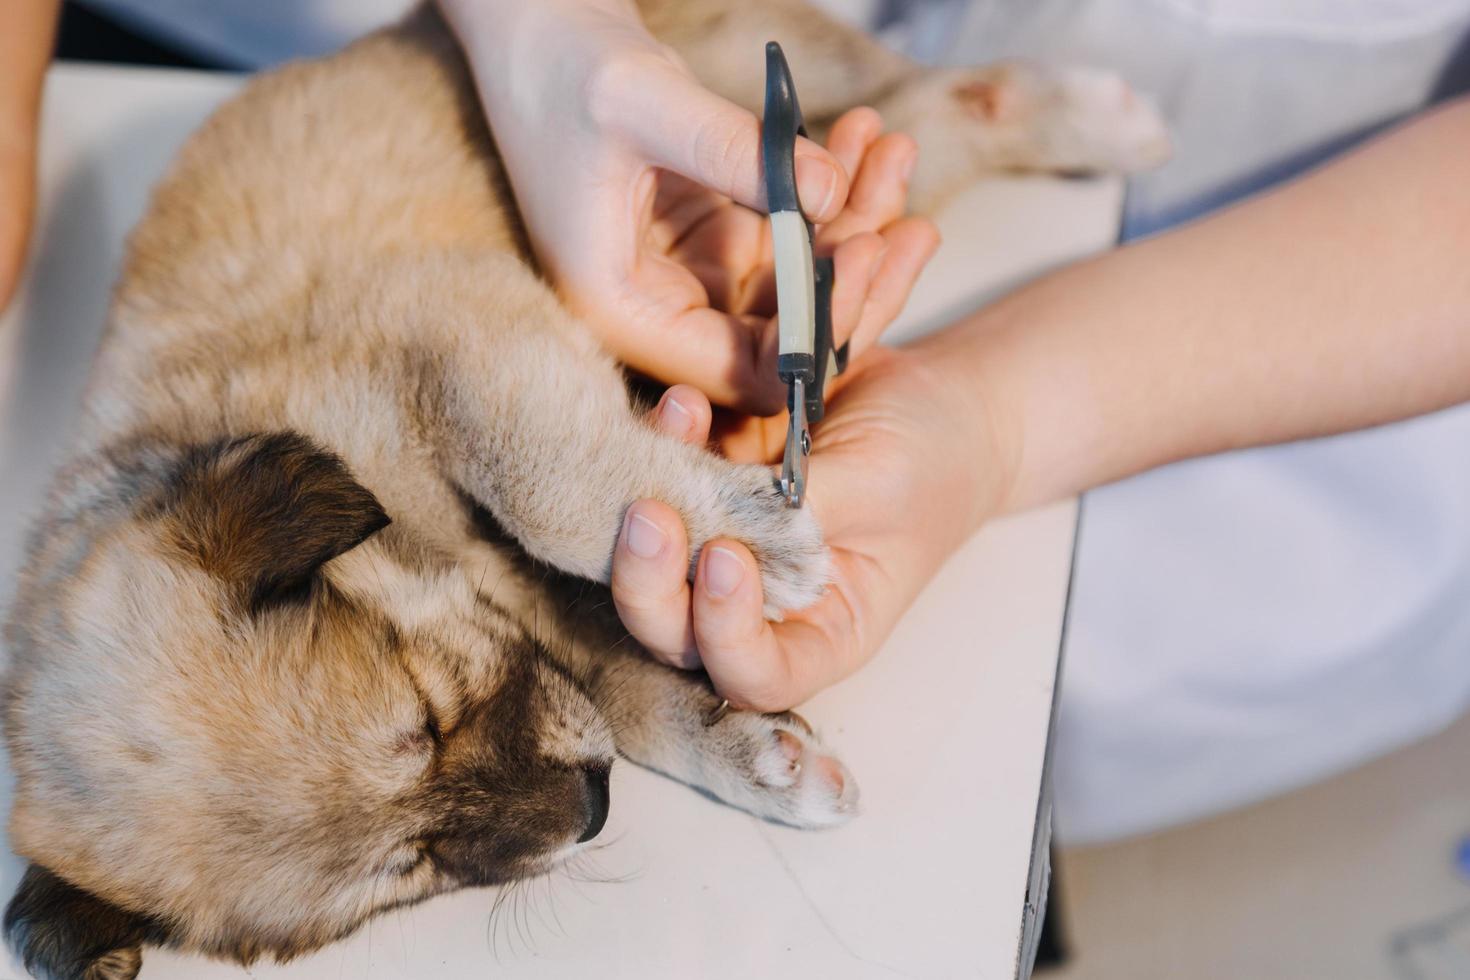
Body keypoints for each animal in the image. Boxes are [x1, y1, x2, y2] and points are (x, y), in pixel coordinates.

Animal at [0, 3, 1170, 975]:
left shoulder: (455, 334)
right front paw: (759, 754)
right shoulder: (540, 624)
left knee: (917, 103)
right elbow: (622, 683)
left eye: (429, 715)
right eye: (411, 865)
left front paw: (751, 542)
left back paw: (1101, 120)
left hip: (748, 79)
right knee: (928, 122)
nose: (596, 809)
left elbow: (551, 485)